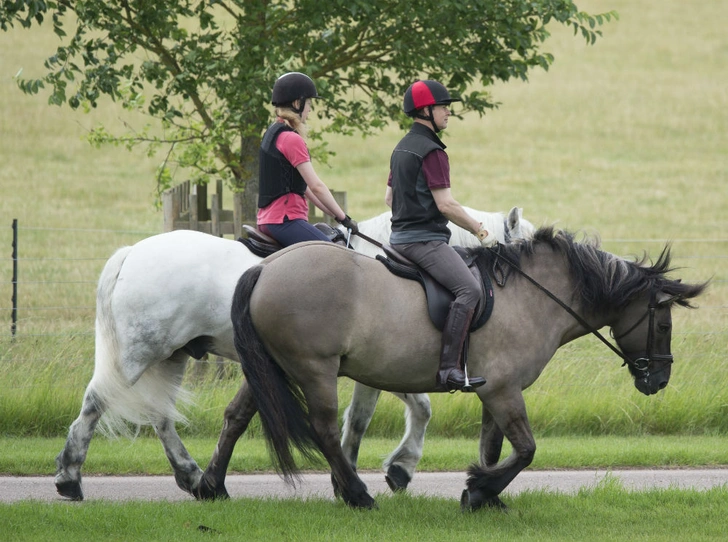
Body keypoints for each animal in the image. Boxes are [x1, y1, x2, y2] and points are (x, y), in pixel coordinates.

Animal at [203, 228, 704, 510]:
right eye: (663, 323)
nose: (659, 380)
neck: (534, 295)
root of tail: (266, 268)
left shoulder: (493, 392)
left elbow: (494, 445)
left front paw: (488, 495)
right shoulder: (503, 390)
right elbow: (526, 450)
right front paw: (478, 490)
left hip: (271, 368)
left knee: (236, 416)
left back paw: (211, 486)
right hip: (314, 370)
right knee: (324, 429)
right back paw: (357, 495)